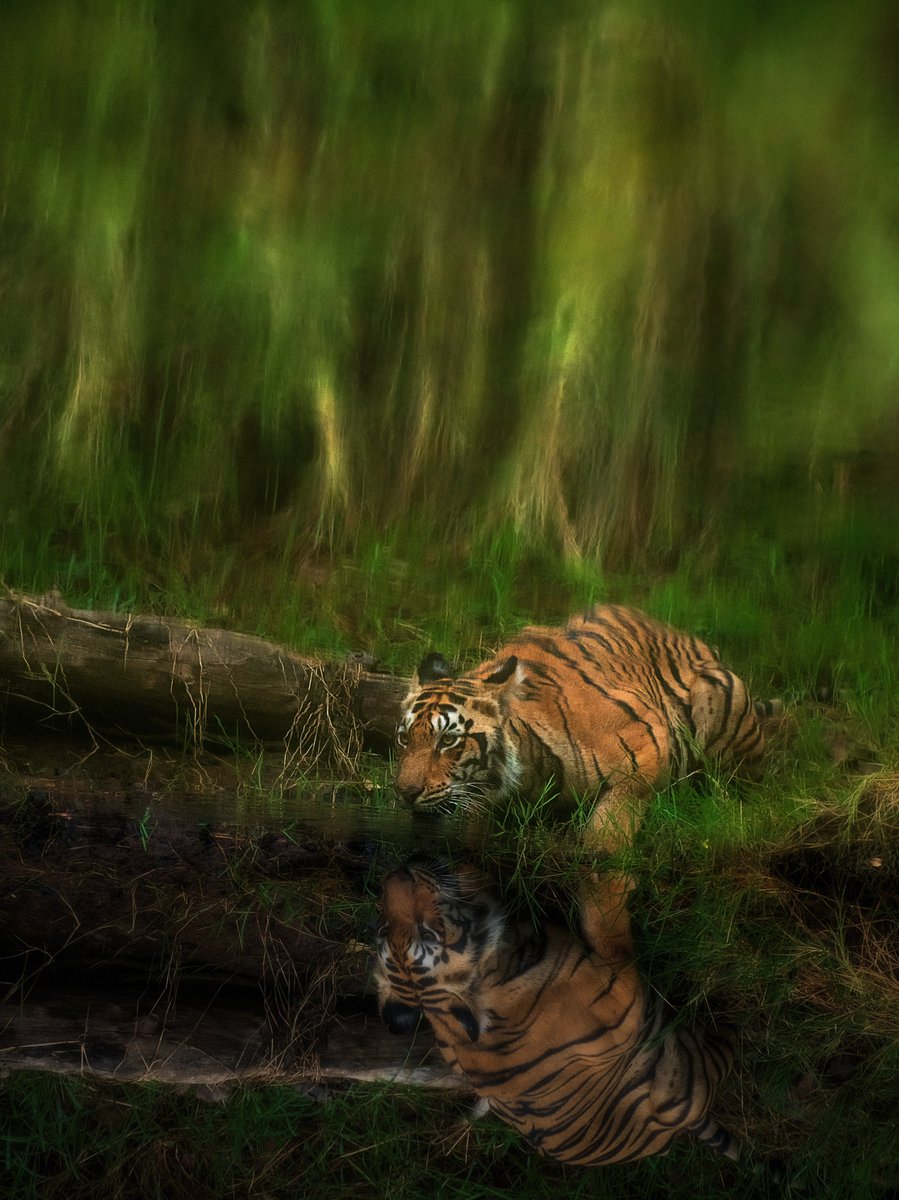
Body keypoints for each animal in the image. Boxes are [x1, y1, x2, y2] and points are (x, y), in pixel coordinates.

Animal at [374, 857, 739, 1166]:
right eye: (427, 933)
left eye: (385, 930)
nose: (394, 874)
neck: (501, 965)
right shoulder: (624, 995)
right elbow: (607, 926)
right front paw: (610, 877)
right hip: (681, 1068)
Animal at [395, 604, 776, 851]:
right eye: (404, 739)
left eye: (448, 741)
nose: (404, 793)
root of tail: (701, 644)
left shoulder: (647, 750)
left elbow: (606, 839)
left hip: (719, 695)